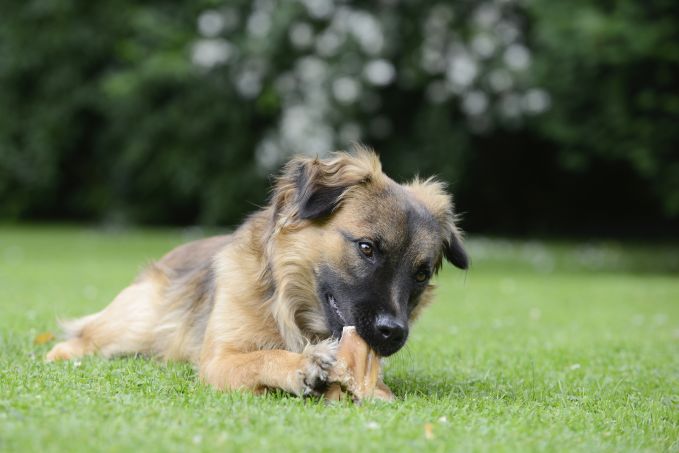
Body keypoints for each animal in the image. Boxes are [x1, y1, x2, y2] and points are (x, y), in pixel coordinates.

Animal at [46, 148, 468, 399]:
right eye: (367, 248)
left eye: (421, 274)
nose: (392, 332)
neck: (290, 308)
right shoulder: (219, 359)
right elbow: (263, 357)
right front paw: (302, 366)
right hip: (133, 326)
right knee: (78, 341)